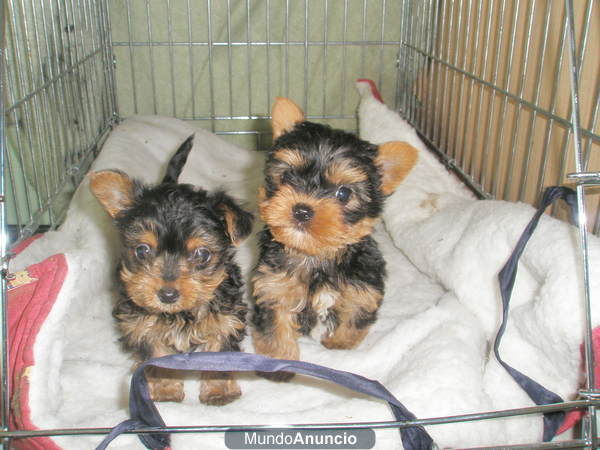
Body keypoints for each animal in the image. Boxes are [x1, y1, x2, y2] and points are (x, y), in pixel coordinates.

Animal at [89, 136, 253, 404]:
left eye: (202, 254)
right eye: (142, 250)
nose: (167, 295)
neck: (179, 314)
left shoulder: (225, 319)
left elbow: (218, 352)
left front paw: (218, 391)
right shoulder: (143, 325)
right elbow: (157, 357)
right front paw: (165, 390)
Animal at [252, 97, 418, 380]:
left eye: (343, 193)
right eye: (287, 176)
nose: (302, 210)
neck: (316, 255)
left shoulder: (361, 288)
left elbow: (353, 318)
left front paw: (338, 346)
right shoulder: (273, 286)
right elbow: (275, 326)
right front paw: (280, 362)